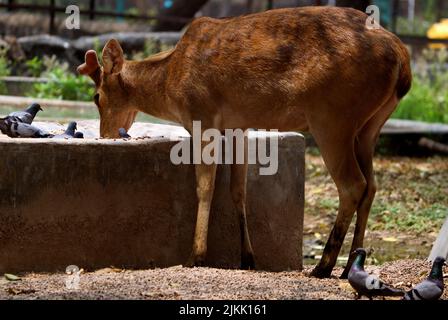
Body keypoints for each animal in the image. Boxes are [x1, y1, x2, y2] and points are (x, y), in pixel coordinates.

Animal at [77, 6, 410, 278]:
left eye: (96, 97)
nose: (106, 134)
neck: (170, 84)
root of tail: (403, 63)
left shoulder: (202, 116)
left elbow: (205, 187)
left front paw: (195, 256)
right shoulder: (239, 126)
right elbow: (239, 190)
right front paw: (247, 258)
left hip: (332, 117)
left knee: (353, 184)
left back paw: (324, 266)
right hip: (370, 126)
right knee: (371, 185)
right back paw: (351, 265)